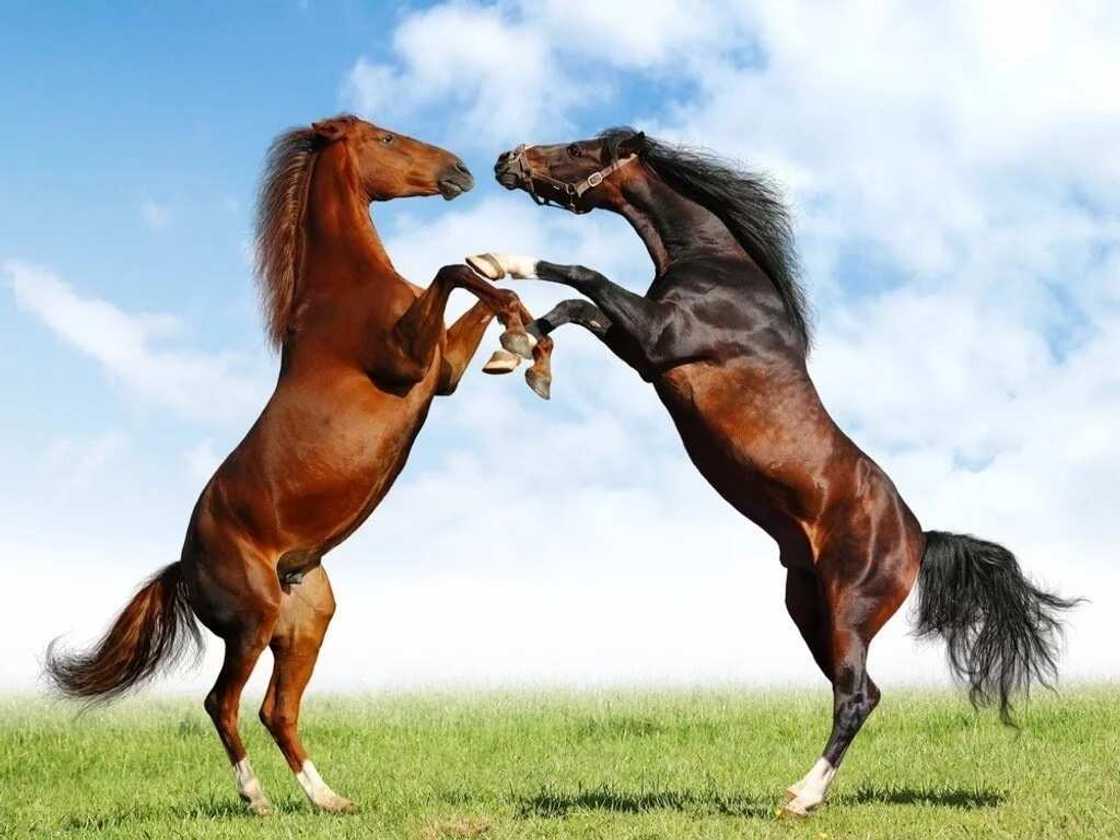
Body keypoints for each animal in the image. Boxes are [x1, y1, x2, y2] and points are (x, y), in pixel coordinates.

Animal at [44, 114, 553, 815]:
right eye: (385, 139)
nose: (461, 170)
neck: (343, 290)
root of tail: (184, 565)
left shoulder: (442, 372)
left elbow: (478, 288)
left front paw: (522, 338)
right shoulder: (409, 361)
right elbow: (453, 272)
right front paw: (519, 339)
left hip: (306, 624)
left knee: (276, 710)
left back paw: (329, 799)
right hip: (251, 624)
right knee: (222, 703)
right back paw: (255, 797)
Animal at [466, 128, 1081, 817]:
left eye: (578, 148)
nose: (506, 161)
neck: (720, 271)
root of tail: (919, 539)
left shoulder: (659, 340)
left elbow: (581, 276)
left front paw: (497, 264)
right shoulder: (643, 351)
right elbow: (574, 307)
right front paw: (516, 352)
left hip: (848, 609)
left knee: (856, 696)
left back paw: (801, 797)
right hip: (808, 610)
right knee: (861, 691)